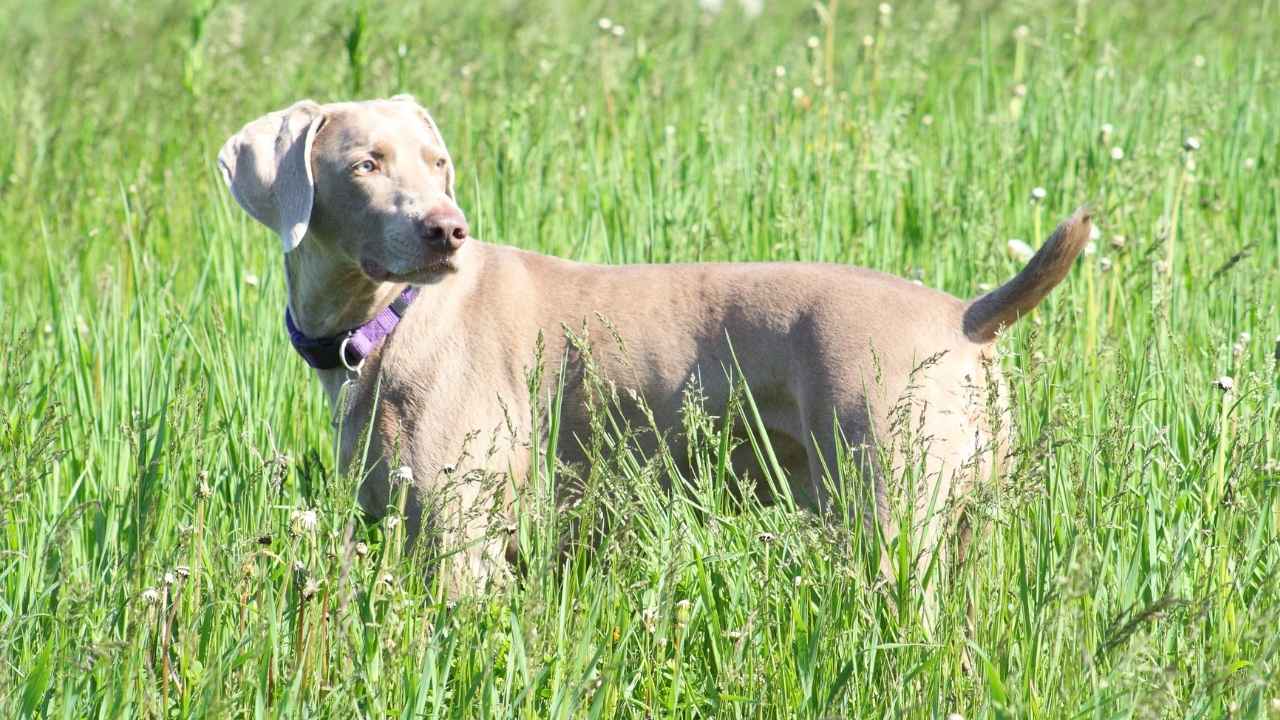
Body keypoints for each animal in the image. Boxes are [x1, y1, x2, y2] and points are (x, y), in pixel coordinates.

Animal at [217, 95, 1090, 599]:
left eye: (438, 164)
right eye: (367, 164)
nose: (448, 230)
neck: (387, 321)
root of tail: (964, 316)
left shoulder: (461, 538)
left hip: (887, 510)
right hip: (967, 518)